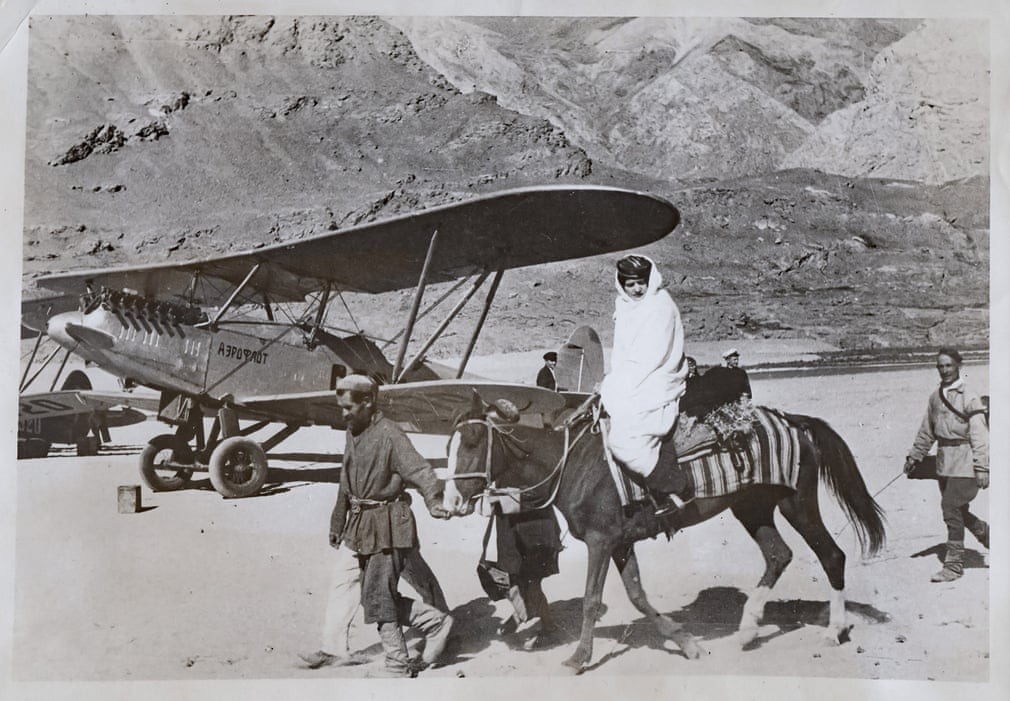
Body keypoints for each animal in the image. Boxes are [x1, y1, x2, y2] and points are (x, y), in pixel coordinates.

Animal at [442, 395, 884, 674]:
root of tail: (794, 422)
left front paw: (578, 658)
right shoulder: (620, 542)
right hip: (752, 507)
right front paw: (686, 643)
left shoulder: (601, 541)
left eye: (473, 440)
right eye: (448, 443)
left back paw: (833, 631)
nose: (450, 501)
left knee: (831, 556)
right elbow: (637, 595)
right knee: (778, 555)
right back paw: (747, 631)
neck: (573, 465)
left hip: (797, 503)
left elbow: (591, 600)